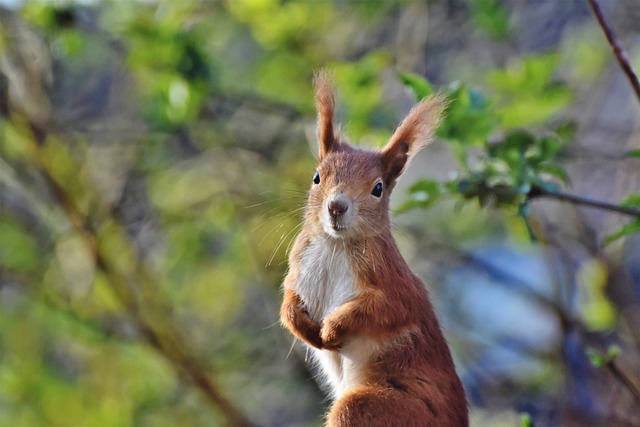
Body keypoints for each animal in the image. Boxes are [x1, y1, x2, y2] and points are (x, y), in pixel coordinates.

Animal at [280, 71, 470, 427]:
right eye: (317, 177)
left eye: (378, 188)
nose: (336, 207)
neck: (335, 245)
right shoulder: (298, 266)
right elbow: (287, 303)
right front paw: (304, 327)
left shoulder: (394, 283)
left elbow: (387, 309)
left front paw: (332, 329)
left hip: (389, 409)